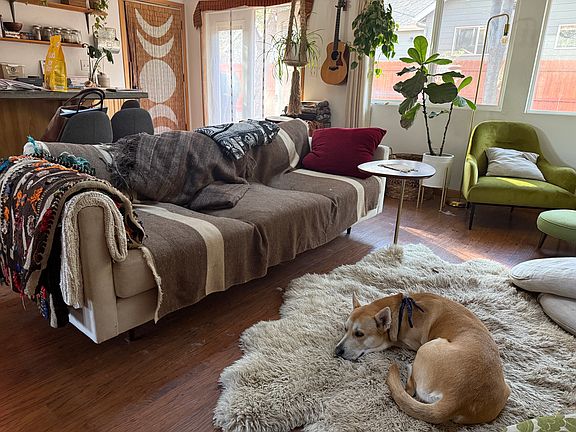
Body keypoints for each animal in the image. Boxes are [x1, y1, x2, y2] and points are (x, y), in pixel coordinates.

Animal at [334, 292, 510, 425]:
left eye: (359, 334)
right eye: (345, 329)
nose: (336, 350)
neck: (400, 312)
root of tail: (457, 400)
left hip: (427, 348)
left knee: (411, 389)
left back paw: (409, 367)